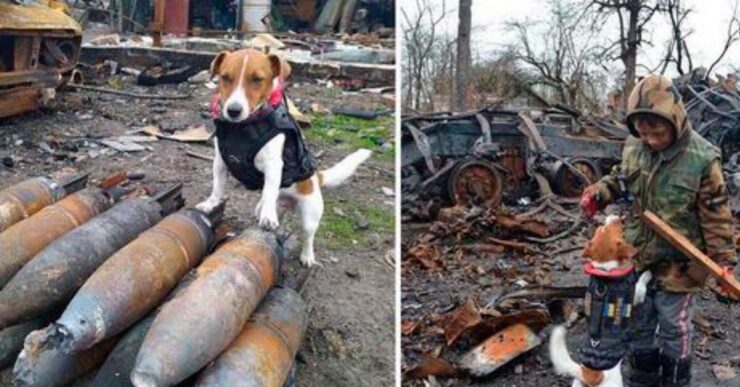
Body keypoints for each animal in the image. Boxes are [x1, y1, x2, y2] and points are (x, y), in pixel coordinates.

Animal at [548, 215, 652, 387]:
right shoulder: (637, 293)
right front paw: (648, 273)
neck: (604, 270)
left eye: (600, 229)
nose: (616, 217)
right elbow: (642, 281)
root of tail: (590, 374)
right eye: (606, 228)